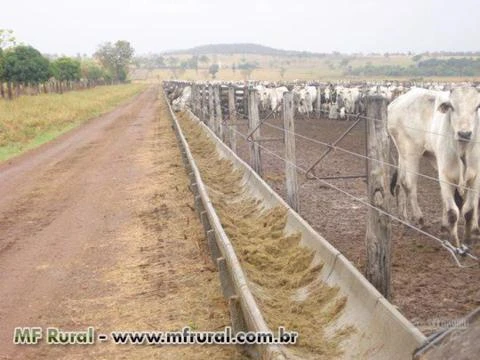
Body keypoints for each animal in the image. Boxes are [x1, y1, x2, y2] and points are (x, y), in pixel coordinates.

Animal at [388, 88, 480, 248]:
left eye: (477, 107)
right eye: (452, 107)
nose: (464, 133)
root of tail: (396, 101)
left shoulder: (476, 177)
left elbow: (469, 209)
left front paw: (469, 239)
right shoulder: (445, 175)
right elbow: (453, 211)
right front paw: (455, 244)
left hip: (405, 155)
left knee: (400, 183)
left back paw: (404, 219)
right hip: (411, 153)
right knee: (409, 184)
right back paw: (420, 220)